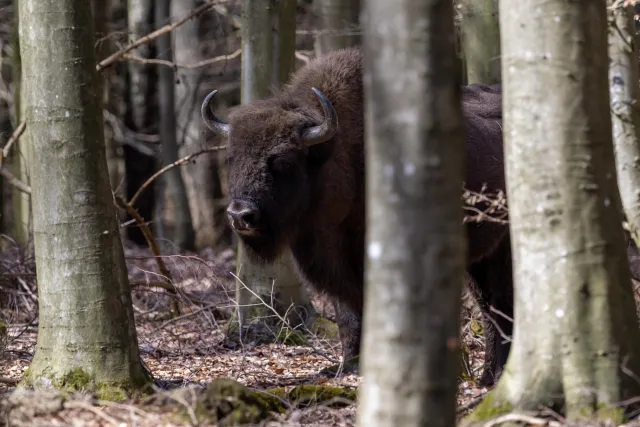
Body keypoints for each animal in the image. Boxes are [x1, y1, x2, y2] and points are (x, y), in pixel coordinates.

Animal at [202, 46, 512, 388]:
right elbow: (348, 316)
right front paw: (346, 367)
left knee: (501, 305)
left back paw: (494, 376)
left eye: (283, 161)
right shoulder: (336, 265)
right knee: (491, 306)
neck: (336, 157)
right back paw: (488, 377)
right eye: (231, 158)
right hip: (481, 257)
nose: (240, 215)